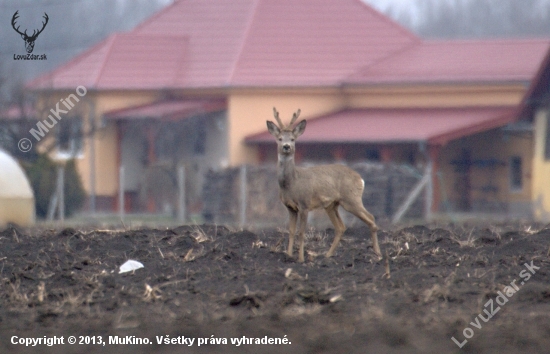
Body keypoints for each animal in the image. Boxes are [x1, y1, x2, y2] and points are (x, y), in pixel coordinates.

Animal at [268, 108, 384, 262]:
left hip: (351, 199)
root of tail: (360, 179)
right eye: (280, 138)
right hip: (332, 204)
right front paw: (288, 255)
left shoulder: (304, 204)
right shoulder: (290, 207)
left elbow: (301, 232)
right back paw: (328, 255)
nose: (286, 146)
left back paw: (378, 254)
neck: (291, 183)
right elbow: (291, 231)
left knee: (370, 218)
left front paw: (301, 259)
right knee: (341, 227)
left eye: (293, 139)